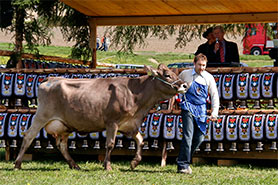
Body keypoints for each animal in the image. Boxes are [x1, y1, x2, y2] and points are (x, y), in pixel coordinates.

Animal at [15, 64, 189, 171]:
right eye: (167, 75)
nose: (185, 85)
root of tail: (50, 79)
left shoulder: (130, 124)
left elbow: (140, 140)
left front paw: (134, 163)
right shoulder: (112, 122)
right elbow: (110, 144)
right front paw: (107, 166)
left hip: (64, 125)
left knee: (62, 145)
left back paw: (74, 165)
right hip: (41, 116)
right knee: (28, 136)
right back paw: (17, 164)